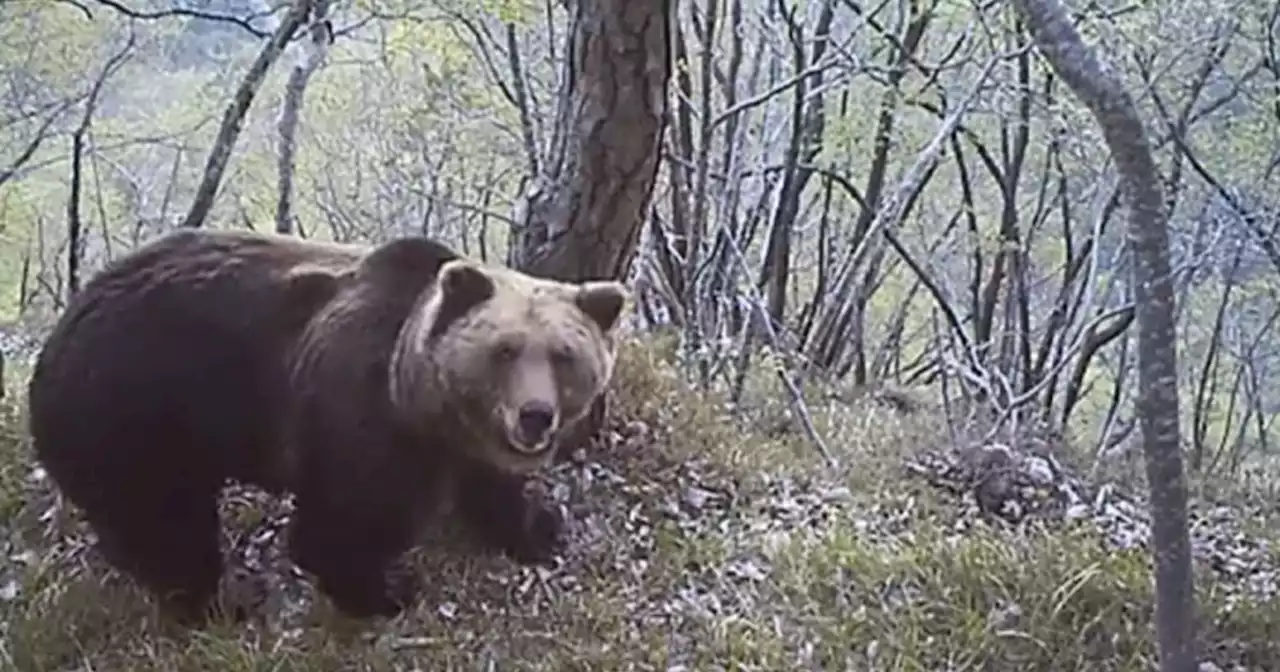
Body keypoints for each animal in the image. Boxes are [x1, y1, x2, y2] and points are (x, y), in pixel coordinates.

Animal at [27, 229, 627, 624]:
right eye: (504, 350)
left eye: (563, 355)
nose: (535, 414)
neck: (418, 398)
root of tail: (56, 340)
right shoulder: (360, 417)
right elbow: (345, 521)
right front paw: (385, 590)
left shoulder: (464, 442)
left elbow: (493, 487)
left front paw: (539, 527)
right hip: (136, 415)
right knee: (168, 523)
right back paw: (222, 602)